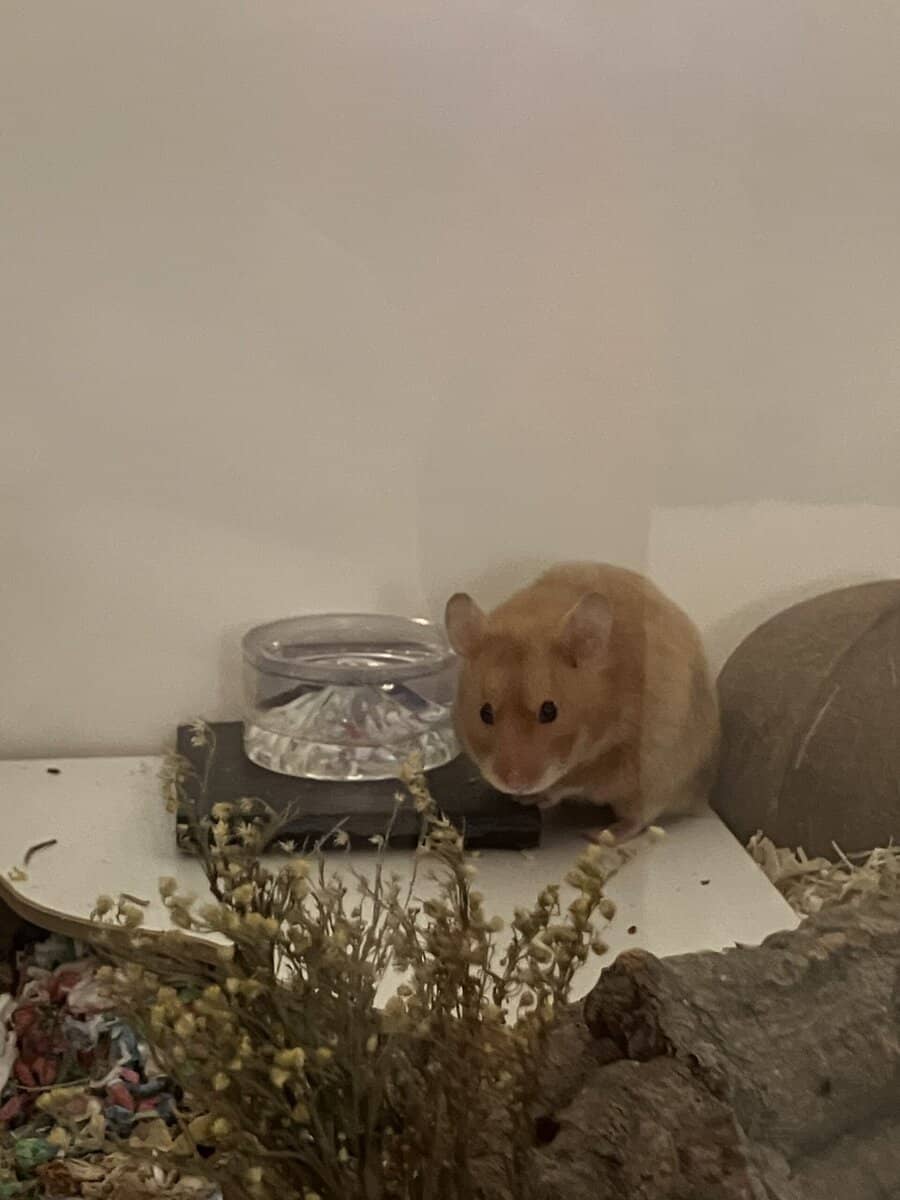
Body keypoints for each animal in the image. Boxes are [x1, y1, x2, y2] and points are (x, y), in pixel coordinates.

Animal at [444, 563, 720, 843]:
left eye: (549, 711)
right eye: (484, 713)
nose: (516, 784)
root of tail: (701, 794)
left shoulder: (612, 762)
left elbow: (569, 785)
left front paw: (532, 799)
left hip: (657, 781)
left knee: (639, 818)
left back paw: (599, 834)